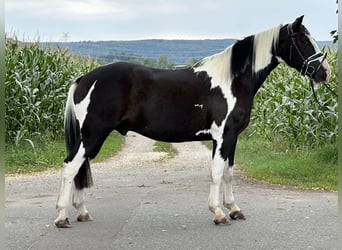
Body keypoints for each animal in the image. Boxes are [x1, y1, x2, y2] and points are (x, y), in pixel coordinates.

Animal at [54, 15, 332, 227]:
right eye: (303, 40)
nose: (325, 72)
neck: (233, 81)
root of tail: (85, 79)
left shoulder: (232, 138)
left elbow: (229, 172)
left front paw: (234, 209)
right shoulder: (223, 136)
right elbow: (217, 172)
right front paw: (219, 213)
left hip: (90, 137)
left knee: (79, 168)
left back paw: (82, 212)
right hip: (93, 135)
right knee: (71, 166)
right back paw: (62, 217)